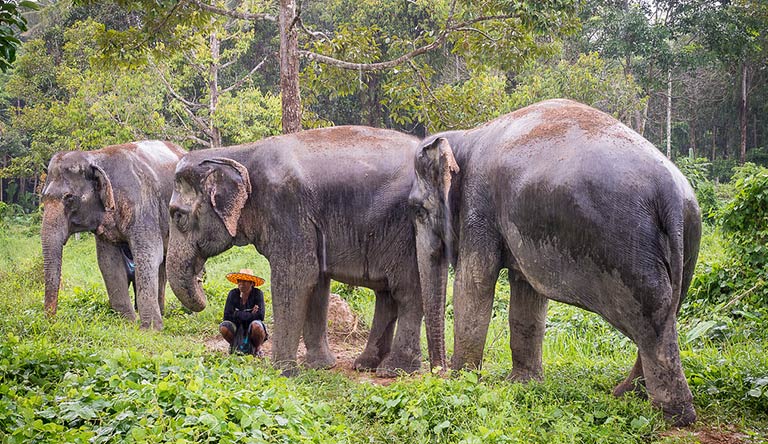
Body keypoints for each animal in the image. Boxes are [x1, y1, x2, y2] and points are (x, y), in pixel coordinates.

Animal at [41, 140, 186, 330]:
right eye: (43, 197)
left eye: (69, 198)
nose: (51, 322)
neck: (94, 156)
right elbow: (108, 262)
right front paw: (127, 324)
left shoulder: (142, 205)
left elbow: (148, 255)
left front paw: (151, 329)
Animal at [166, 126, 433, 375]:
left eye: (178, 216)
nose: (201, 280)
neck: (236, 153)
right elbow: (317, 285)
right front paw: (321, 366)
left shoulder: (287, 209)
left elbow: (296, 279)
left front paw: (282, 372)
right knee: (386, 294)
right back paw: (366, 365)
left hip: (408, 233)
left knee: (407, 291)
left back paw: (394, 370)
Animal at [407, 99, 701, 426]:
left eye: (417, 209)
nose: (438, 373)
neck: (465, 136)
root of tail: (671, 193)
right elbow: (527, 293)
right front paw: (522, 384)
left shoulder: (478, 205)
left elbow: (474, 284)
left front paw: (462, 383)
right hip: (688, 240)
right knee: (669, 311)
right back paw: (626, 393)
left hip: (631, 247)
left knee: (653, 320)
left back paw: (673, 416)